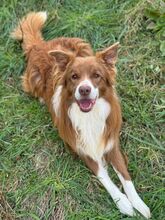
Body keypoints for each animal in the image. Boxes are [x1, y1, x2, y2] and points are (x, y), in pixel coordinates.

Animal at [11, 11, 151, 218]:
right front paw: (124, 203)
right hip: (33, 79)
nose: (84, 90)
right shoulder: (83, 149)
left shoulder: (111, 144)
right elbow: (105, 177)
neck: (89, 116)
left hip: (80, 44)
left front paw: (139, 204)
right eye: (74, 77)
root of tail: (40, 45)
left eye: (96, 76)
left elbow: (126, 177)